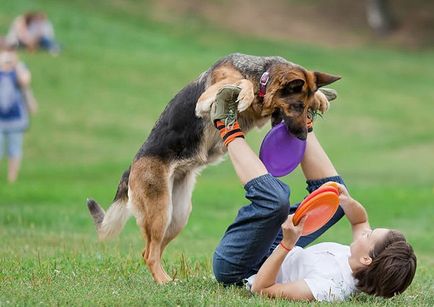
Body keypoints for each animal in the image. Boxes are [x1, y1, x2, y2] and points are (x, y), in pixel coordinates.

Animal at [87, 53, 340, 284]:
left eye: (306, 108)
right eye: (296, 106)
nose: (302, 136)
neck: (262, 76)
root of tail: (131, 167)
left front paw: (320, 96)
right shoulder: (207, 97)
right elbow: (241, 83)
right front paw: (244, 94)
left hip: (177, 216)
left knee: (150, 251)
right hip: (160, 213)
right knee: (149, 253)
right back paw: (164, 281)